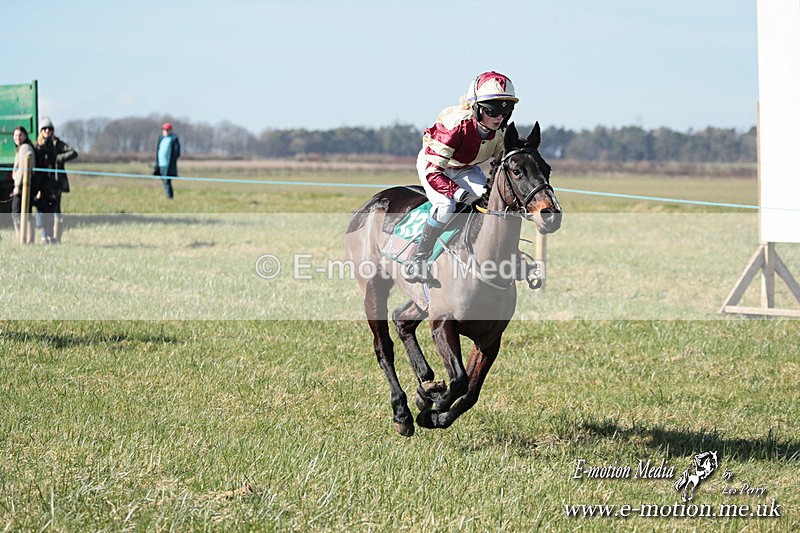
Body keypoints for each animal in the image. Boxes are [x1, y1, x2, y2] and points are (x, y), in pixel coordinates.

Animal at [344, 122, 562, 436]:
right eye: (517, 170)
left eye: (547, 168)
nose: (551, 214)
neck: (483, 258)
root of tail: (373, 201)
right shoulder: (443, 324)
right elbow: (459, 380)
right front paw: (429, 402)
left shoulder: (490, 339)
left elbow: (471, 391)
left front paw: (435, 411)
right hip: (373, 287)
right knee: (383, 347)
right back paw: (402, 412)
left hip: (421, 299)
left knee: (402, 320)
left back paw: (425, 379)